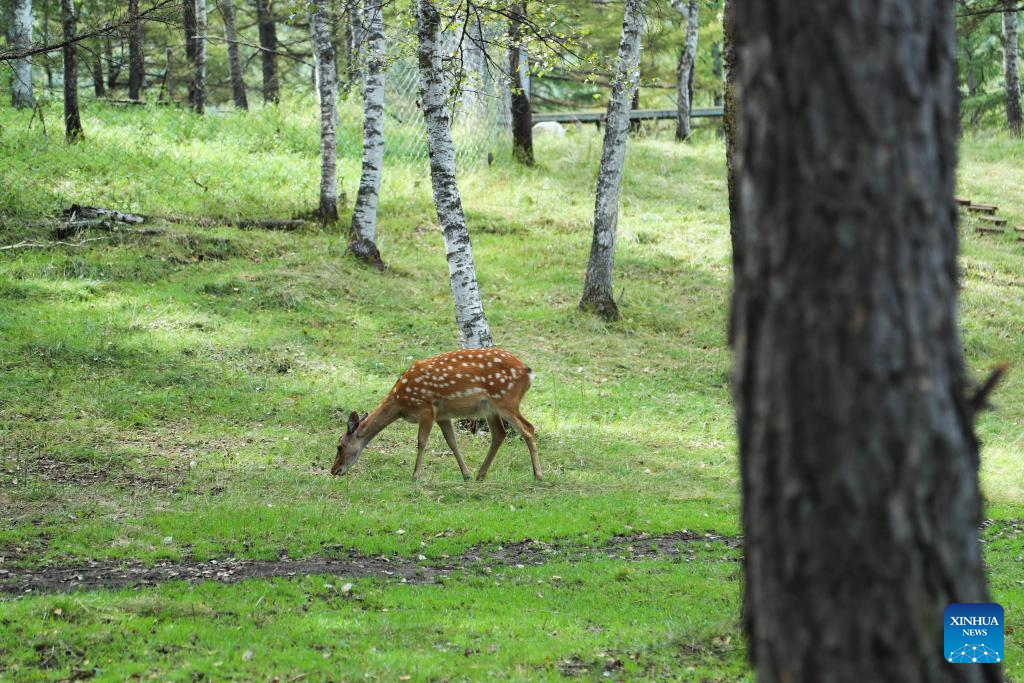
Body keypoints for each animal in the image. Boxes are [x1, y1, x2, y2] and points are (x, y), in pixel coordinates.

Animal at [333, 350, 544, 483]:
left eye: (340, 446)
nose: (334, 470)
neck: (400, 403)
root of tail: (529, 372)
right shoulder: (442, 415)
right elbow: (452, 442)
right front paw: (466, 474)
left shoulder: (426, 409)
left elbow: (421, 441)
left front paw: (415, 476)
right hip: (490, 408)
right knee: (500, 434)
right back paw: (480, 475)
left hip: (506, 400)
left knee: (528, 428)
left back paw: (538, 475)